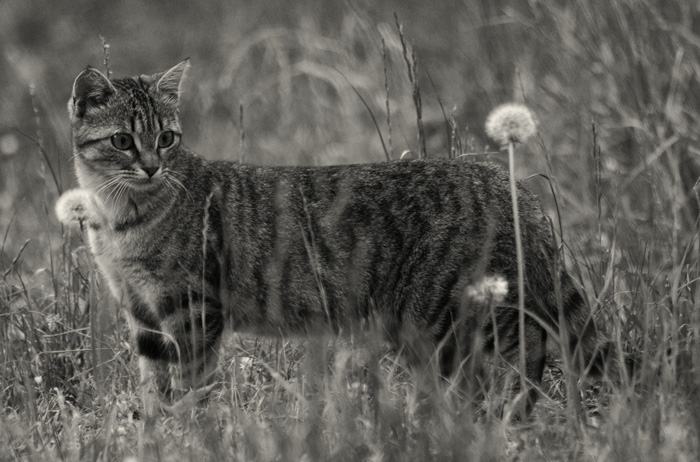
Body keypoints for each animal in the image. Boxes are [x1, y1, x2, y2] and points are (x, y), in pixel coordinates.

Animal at [57, 59, 608, 416]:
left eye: (166, 138)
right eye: (123, 140)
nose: (152, 167)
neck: (120, 218)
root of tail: (503, 179)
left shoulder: (191, 310)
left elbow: (190, 387)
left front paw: (188, 432)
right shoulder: (142, 315)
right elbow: (154, 389)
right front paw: (155, 433)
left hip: (460, 309)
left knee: (531, 351)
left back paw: (512, 415)